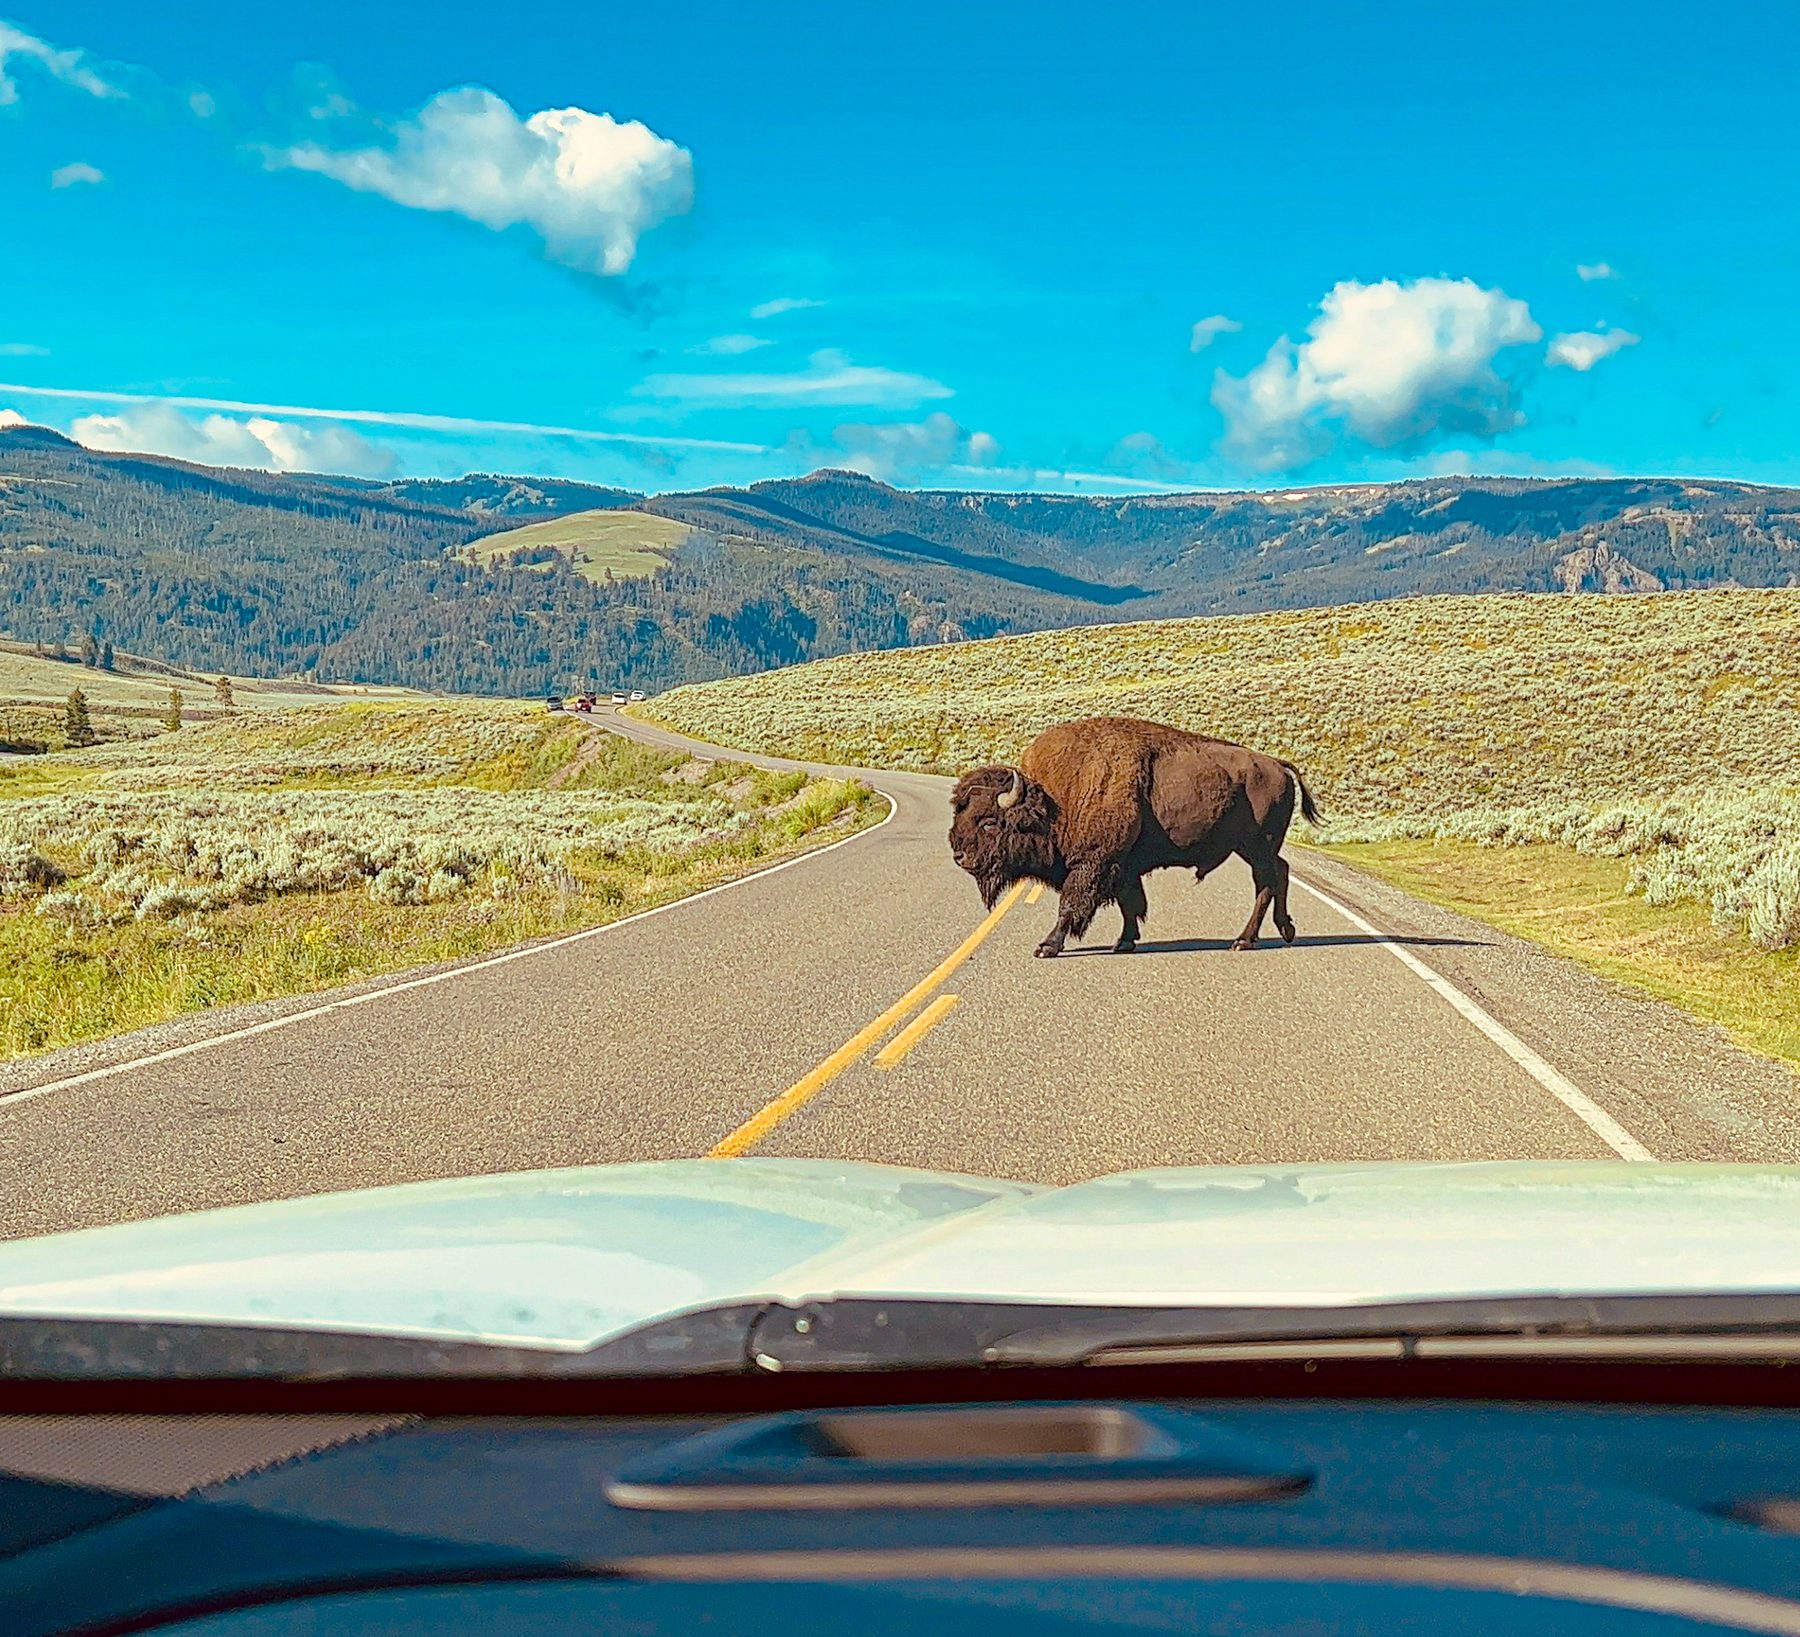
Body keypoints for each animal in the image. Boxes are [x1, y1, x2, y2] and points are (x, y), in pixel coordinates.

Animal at [948, 716, 1321, 958]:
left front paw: (1047, 946)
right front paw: (1124, 942)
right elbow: (1129, 904)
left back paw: (1244, 941)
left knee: (1266, 883)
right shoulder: (1122, 867)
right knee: (1280, 873)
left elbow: (1071, 904)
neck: (1053, 801)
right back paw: (1285, 931)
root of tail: (1277, 764)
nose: (960, 857)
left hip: (1257, 845)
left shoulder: (1092, 862)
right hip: (1252, 848)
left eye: (989, 822)